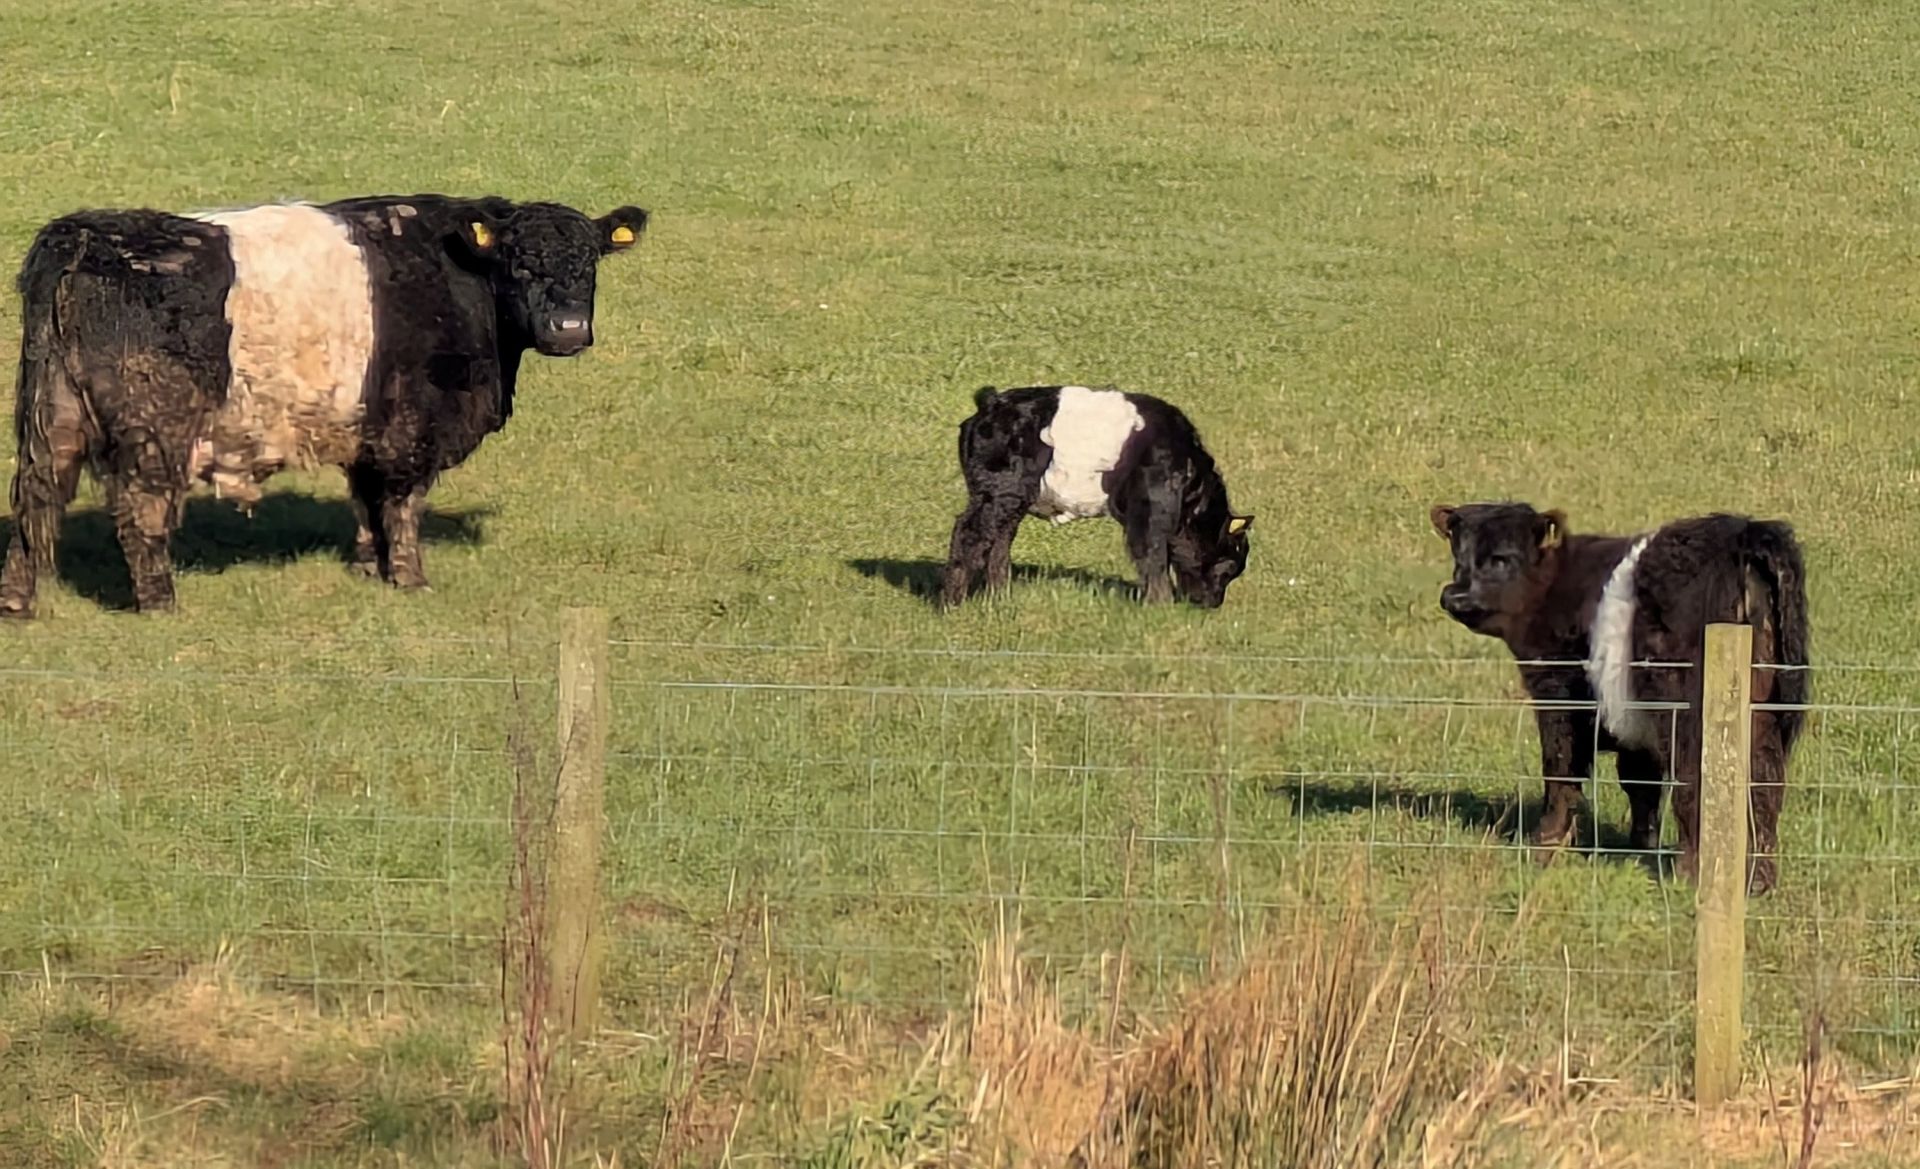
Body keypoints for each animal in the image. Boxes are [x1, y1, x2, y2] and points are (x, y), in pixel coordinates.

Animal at [2, 193, 648, 617]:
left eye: (589, 263)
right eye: (518, 262)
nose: (568, 329)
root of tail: (82, 235)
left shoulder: (369, 430)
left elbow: (365, 501)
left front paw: (367, 567)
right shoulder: (413, 427)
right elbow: (401, 504)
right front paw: (410, 579)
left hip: (52, 413)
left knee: (37, 496)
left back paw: (17, 601)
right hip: (154, 427)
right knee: (142, 512)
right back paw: (161, 604)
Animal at [940, 385, 1252, 610]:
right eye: (1230, 566)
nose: (1213, 605)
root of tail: (992, 402)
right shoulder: (1151, 509)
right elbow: (1152, 554)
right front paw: (1161, 605)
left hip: (1010, 498)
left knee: (999, 542)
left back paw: (1001, 598)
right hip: (998, 492)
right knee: (970, 533)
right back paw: (953, 604)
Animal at [1429, 501, 1810, 894]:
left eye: (1501, 558)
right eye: (1458, 553)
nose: (1455, 595)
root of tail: (1742, 531)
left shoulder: (1558, 696)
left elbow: (1560, 770)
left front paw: (1543, 847)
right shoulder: (1633, 725)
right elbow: (1640, 785)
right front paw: (1640, 849)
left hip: (1690, 713)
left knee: (1700, 779)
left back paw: (1690, 874)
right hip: (1764, 715)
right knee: (1763, 785)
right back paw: (1758, 881)